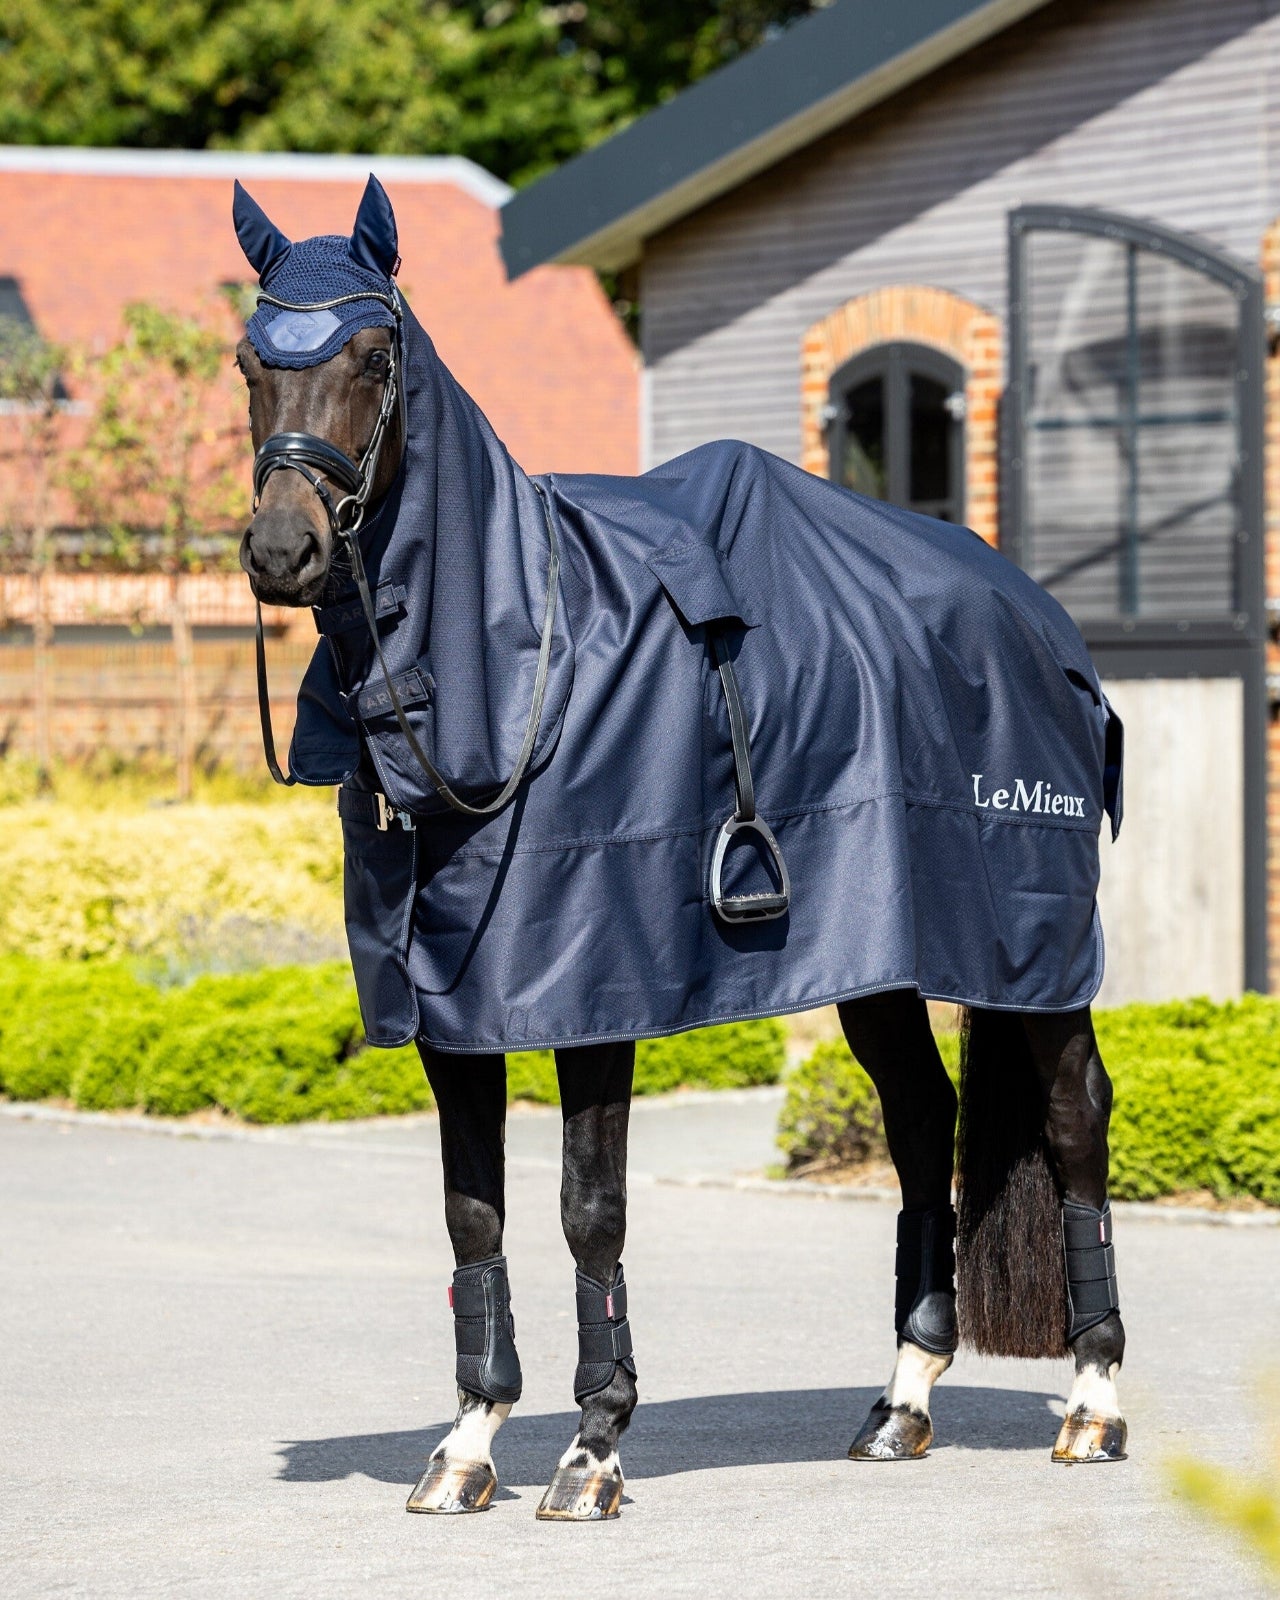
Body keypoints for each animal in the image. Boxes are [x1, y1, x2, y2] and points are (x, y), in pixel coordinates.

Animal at [232, 175, 1128, 1520]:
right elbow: (471, 1216)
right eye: (250, 359)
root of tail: (1035, 619)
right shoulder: (450, 1014)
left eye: (374, 355)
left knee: (1075, 1118)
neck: (525, 661)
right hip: (877, 961)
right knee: (920, 1120)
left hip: (1035, 954)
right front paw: (468, 1441)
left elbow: (585, 1210)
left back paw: (1092, 1402)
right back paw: (900, 1402)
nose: (283, 552)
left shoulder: (596, 1000)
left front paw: (592, 1446)